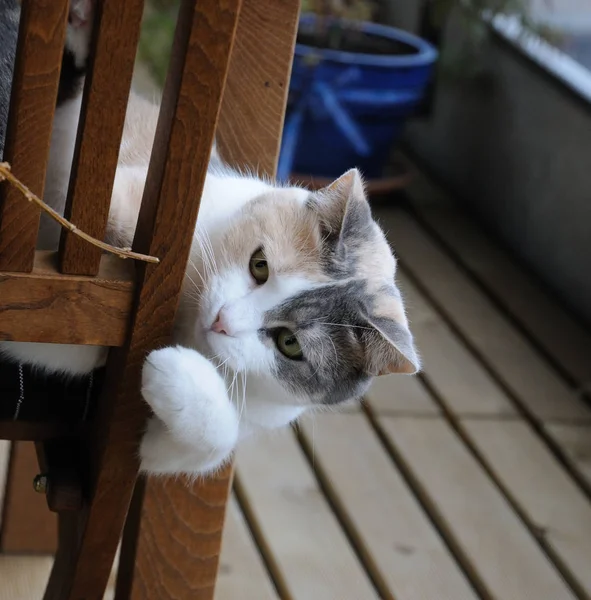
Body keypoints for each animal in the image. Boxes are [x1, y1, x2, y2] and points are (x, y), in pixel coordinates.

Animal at [0, 2, 418, 476]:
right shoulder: (146, 192)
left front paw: (170, 369)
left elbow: (210, 441)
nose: (221, 320)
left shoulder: (194, 434)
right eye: (260, 265)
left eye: (290, 345)